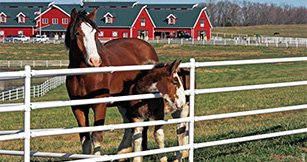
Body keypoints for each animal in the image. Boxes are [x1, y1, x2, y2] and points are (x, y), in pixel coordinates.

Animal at [66, 8, 160, 155]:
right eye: (77, 33)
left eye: (94, 33)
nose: (95, 61)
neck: (83, 75)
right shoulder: (78, 107)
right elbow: (85, 138)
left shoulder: (99, 104)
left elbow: (97, 136)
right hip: (124, 102)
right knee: (129, 125)